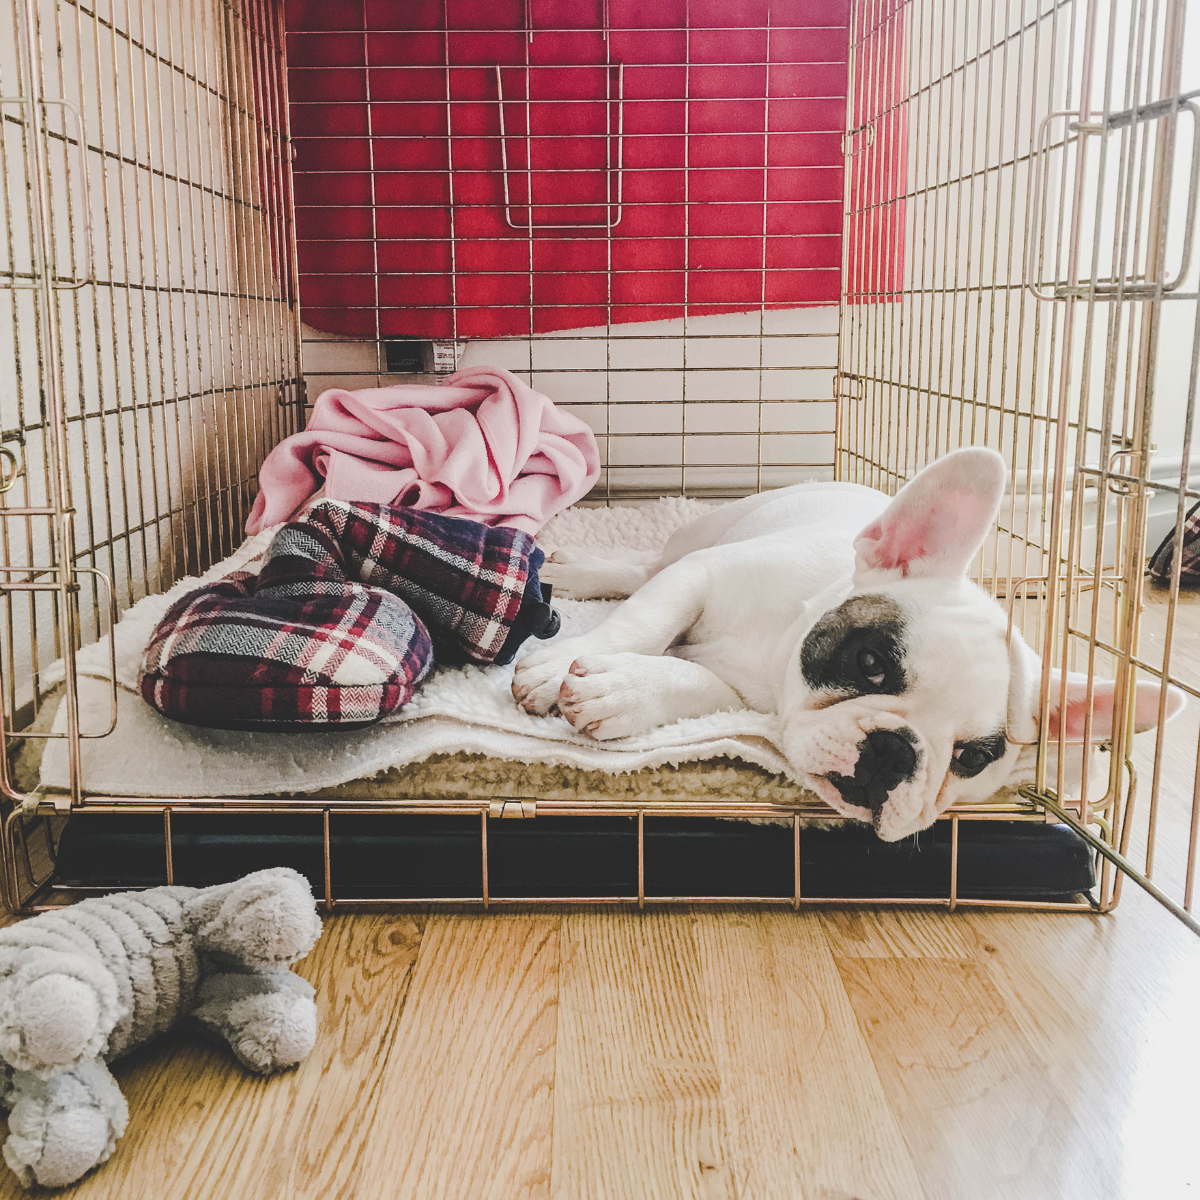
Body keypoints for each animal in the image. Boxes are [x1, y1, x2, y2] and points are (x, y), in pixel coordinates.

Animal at [516, 446, 1190, 840]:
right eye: (870, 663)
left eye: (972, 759)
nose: (894, 753)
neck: (776, 652)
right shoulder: (700, 576)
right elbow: (644, 619)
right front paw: (555, 670)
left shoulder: (743, 696)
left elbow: (695, 682)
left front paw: (622, 690)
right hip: (701, 535)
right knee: (645, 571)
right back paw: (582, 572)